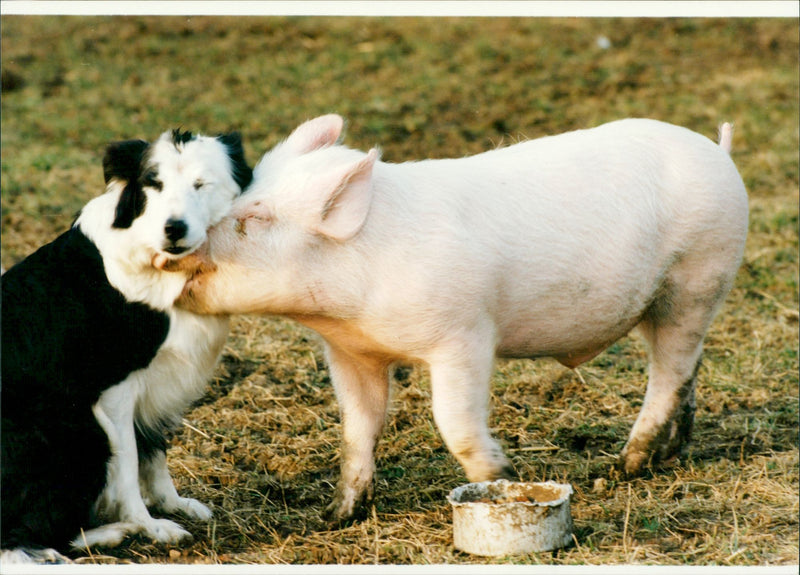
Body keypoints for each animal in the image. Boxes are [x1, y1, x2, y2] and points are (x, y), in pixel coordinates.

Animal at [178, 115, 748, 522]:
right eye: (244, 194)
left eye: (255, 219)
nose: (181, 243)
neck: (346, 309)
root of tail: (718, 151)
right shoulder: (350, 352)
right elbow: (358, 428)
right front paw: (335, 516)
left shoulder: (465, 335)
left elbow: (454, 420)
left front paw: (505, 477)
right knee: (687, 370)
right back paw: (671, 454)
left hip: (697, 281)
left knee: (669, 372)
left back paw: (625, 466)